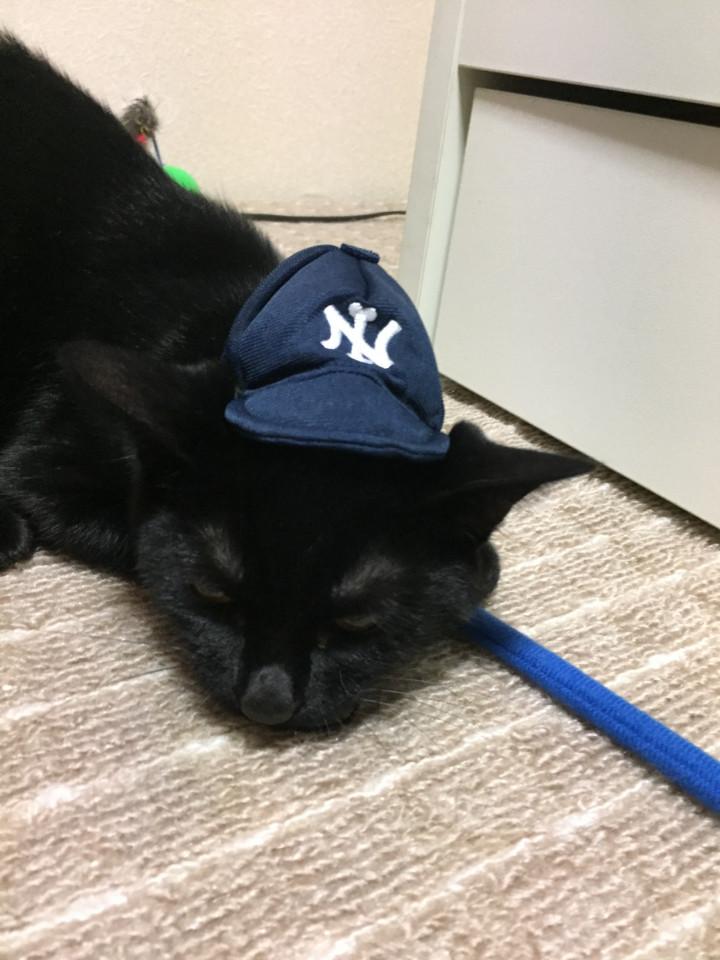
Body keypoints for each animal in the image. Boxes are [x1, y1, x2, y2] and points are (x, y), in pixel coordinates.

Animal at [0, 35, 591, 730]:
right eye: (210, 591)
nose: (267, 702)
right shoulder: (45, 465)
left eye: (356, 623)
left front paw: (473, 565)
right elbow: (137, 537)